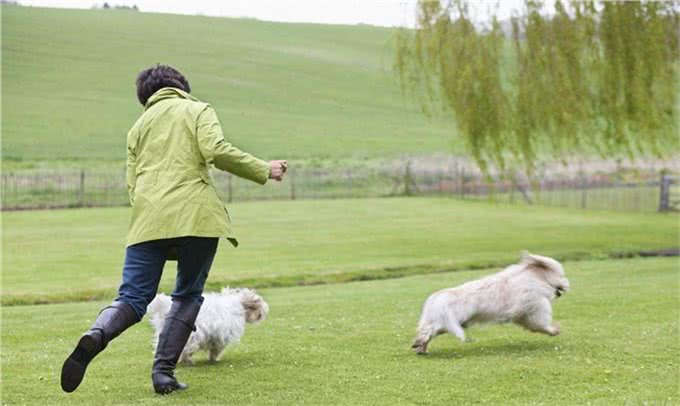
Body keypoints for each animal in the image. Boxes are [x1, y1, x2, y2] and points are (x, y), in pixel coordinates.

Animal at [414, 252, 568, 354]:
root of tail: (437, 298)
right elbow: (542, 324)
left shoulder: (524, 316)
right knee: (428, 331)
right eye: (561, 275)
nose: (565, 285)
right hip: (446, 322)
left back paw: (421, 347)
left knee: (426, 330)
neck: (536, 277)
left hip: (445, 323)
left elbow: (535, 326)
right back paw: (420, 343)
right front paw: (554, 330)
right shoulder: (536, 308)